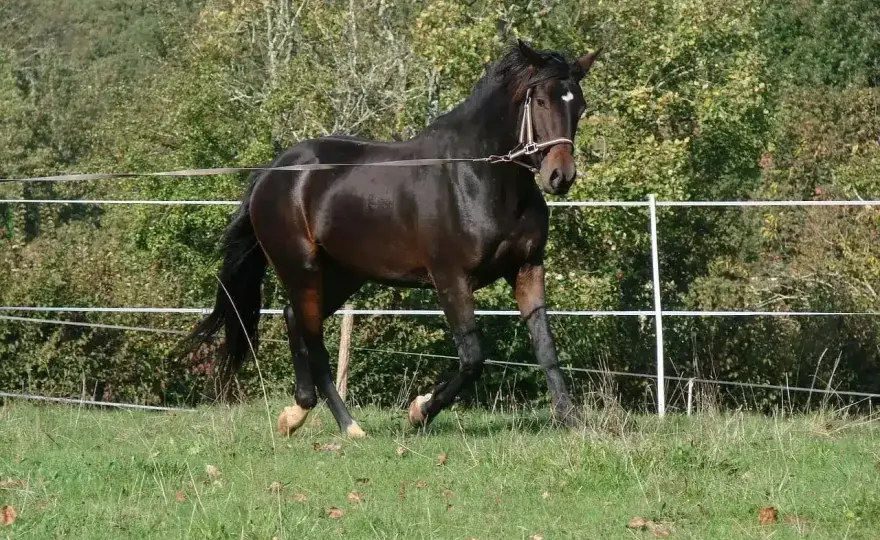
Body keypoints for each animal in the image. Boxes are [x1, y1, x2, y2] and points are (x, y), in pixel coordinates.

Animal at [179, 39, 602, 438]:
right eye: (541, 99)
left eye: (579, 105)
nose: (560, 176)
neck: (477, 177)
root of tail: (272, 171)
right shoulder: (450, 278)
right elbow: (472, 358)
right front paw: (420, 411)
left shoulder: (527, 267)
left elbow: (545, 347)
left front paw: (570, 420)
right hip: (300, 268)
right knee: (312, 339)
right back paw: (348, 426)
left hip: (344, 274)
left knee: (293, 318)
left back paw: (296, 415)